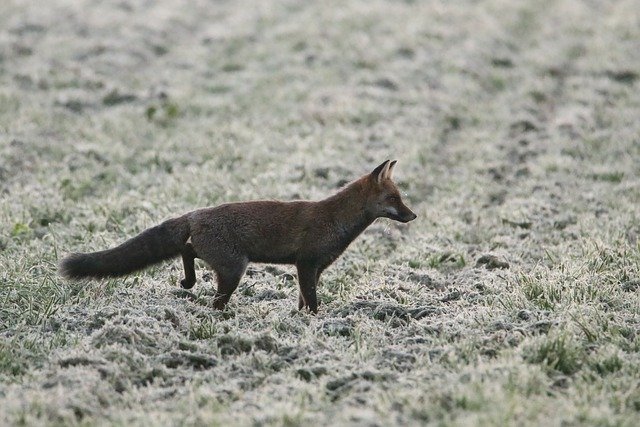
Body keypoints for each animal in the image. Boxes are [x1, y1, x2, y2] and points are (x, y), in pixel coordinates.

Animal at [60, 160, 418, 314]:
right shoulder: (306, 264)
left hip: (225, 264)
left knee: (188, 250)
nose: (413, 216)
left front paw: (300, 320)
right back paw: (205, 300)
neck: (336, 219)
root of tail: (195, 213)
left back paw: (188, 282)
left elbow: (304, 300)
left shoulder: (313, 268)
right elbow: (312, 301)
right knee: (208, 287)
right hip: (234, 269)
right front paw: (314, 323)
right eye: (394, 199)